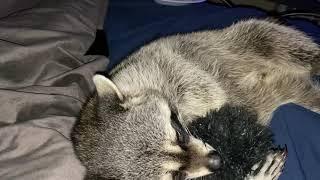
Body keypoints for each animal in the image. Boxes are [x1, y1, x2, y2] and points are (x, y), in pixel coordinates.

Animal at [72, 19, 320, 179]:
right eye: (177, 175)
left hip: (245, 39)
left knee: (274, 39)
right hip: (287, 86)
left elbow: (201, 84)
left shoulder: (159, 63)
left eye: (178, 135)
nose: (217, 160)